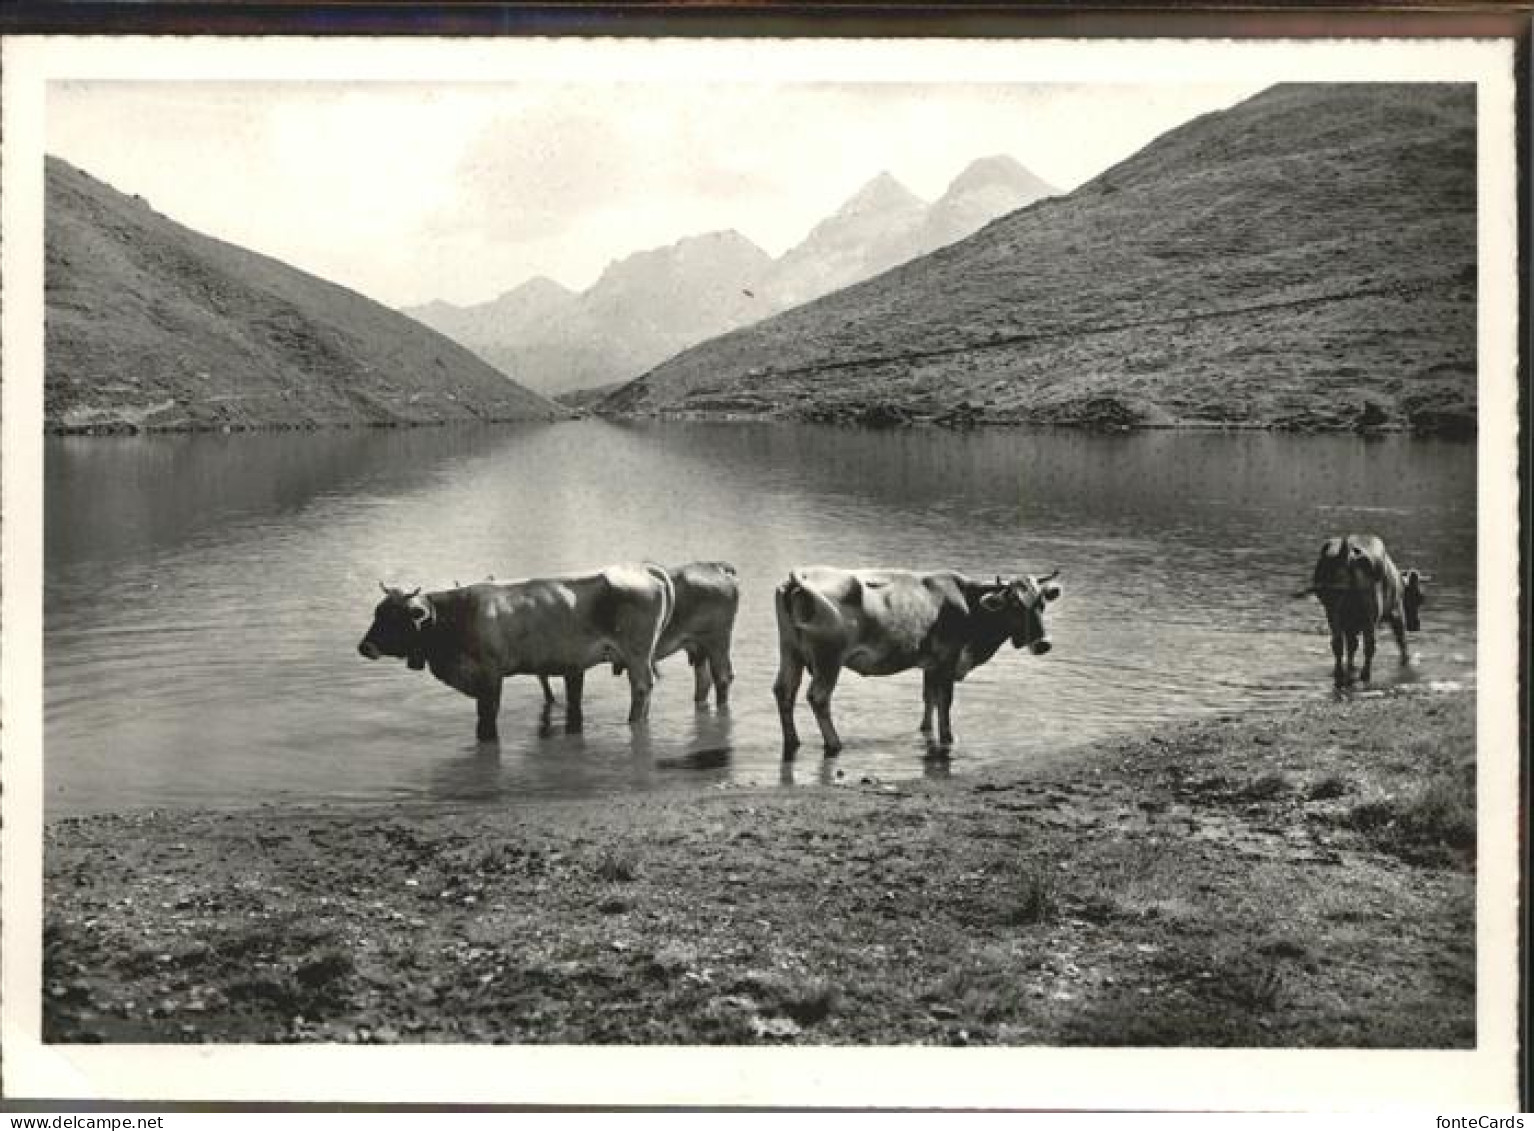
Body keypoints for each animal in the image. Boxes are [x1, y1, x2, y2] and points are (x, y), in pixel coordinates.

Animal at [362, 564, 674, 742]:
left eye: (393, 618)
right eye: (377, 612)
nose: (363, 647)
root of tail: (642, 571)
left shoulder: (490, 676)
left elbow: (486, 717)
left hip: (637, 655)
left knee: (641, 687)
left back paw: (634, 721)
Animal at [773, 564, 1061, 758]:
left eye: (1042, 603)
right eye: (1015, 605)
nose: (1043, 643)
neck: (969, 603)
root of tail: (801, 576)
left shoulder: (931, 663)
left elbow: (929, 697)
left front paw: (925, 730)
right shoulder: (948, 659)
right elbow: (945, 700)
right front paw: (948, 738)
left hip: (790, 651)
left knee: (784, 692)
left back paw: (793, 741)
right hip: (828, 660)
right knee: (818, 697)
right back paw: (834, 744)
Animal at [1300, 534, 1429, 684]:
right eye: (1420, 597)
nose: (1416, 625)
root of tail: (1347, 554)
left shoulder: (1350, 624)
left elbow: (1352, 646)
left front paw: (1351, 667)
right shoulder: (1396, 612)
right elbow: (1402, 642)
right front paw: (1406, 661)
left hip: (1332, 611)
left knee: (1337, 644)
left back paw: (1339, 672)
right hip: (1370, 613)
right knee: (1370, 645)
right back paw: (1365, 675)